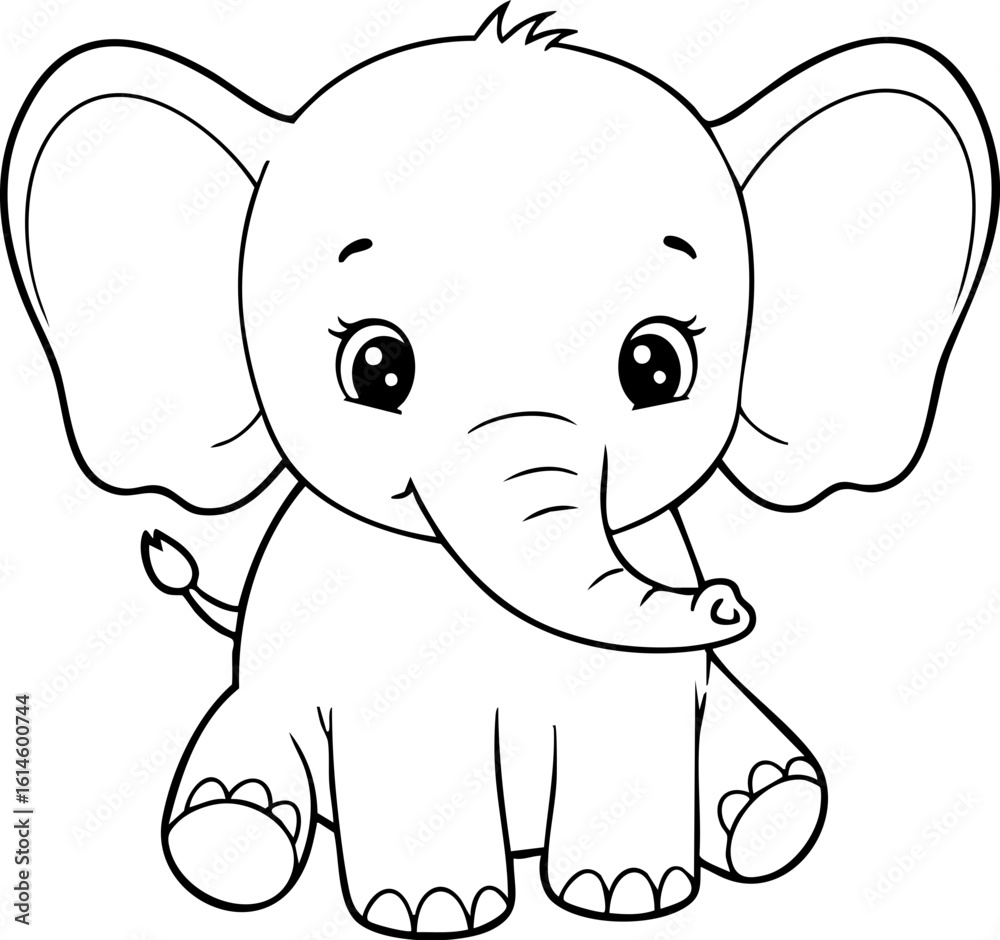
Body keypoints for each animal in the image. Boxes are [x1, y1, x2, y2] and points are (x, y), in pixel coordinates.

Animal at [4, 3, 996, 935]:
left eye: (657, 366)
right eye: (376, 368)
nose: (728, 604)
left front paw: (628, 897)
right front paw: (433, 913)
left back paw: (764, 806)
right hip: (256, 705)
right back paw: (235, 832)